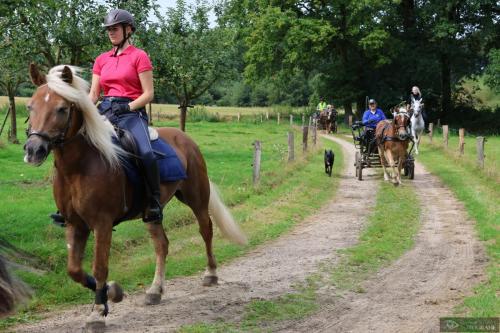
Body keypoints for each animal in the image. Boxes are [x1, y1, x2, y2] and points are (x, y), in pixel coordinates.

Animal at [24, 65, 247, 330]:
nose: (33, 150)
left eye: (62, 109)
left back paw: (210, 274)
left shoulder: (102, 224)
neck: (80, 166)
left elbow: (100, 267)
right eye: (30, 106)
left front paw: (97, 313)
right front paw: (112, 293)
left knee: (206, 230)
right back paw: (154, 291)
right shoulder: (74, 223)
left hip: (197, 199)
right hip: (152, 212)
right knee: (162, 245)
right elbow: (74, 270)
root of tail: (184, 137)